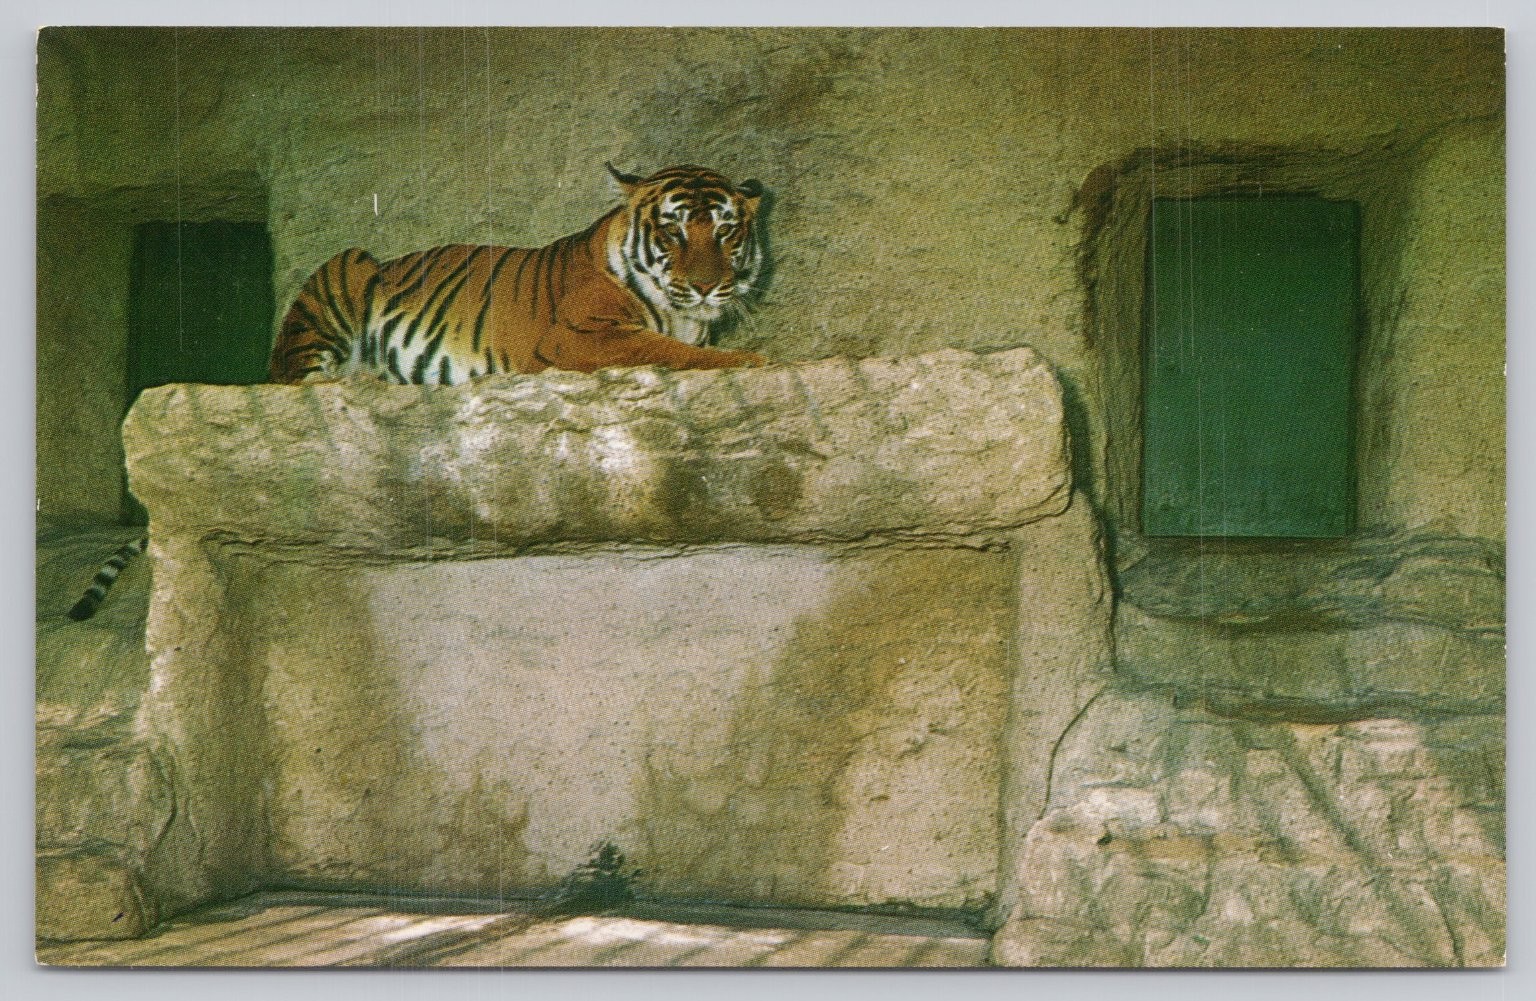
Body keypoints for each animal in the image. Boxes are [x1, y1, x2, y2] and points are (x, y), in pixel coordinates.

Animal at [269, 163, 769, 385]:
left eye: (725, 231)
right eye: (672, 231)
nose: (705, 287)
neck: (682, 314)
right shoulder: (579, 333)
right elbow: (666, 348)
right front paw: (752, 359)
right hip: (348, 263)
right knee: (296, 376)